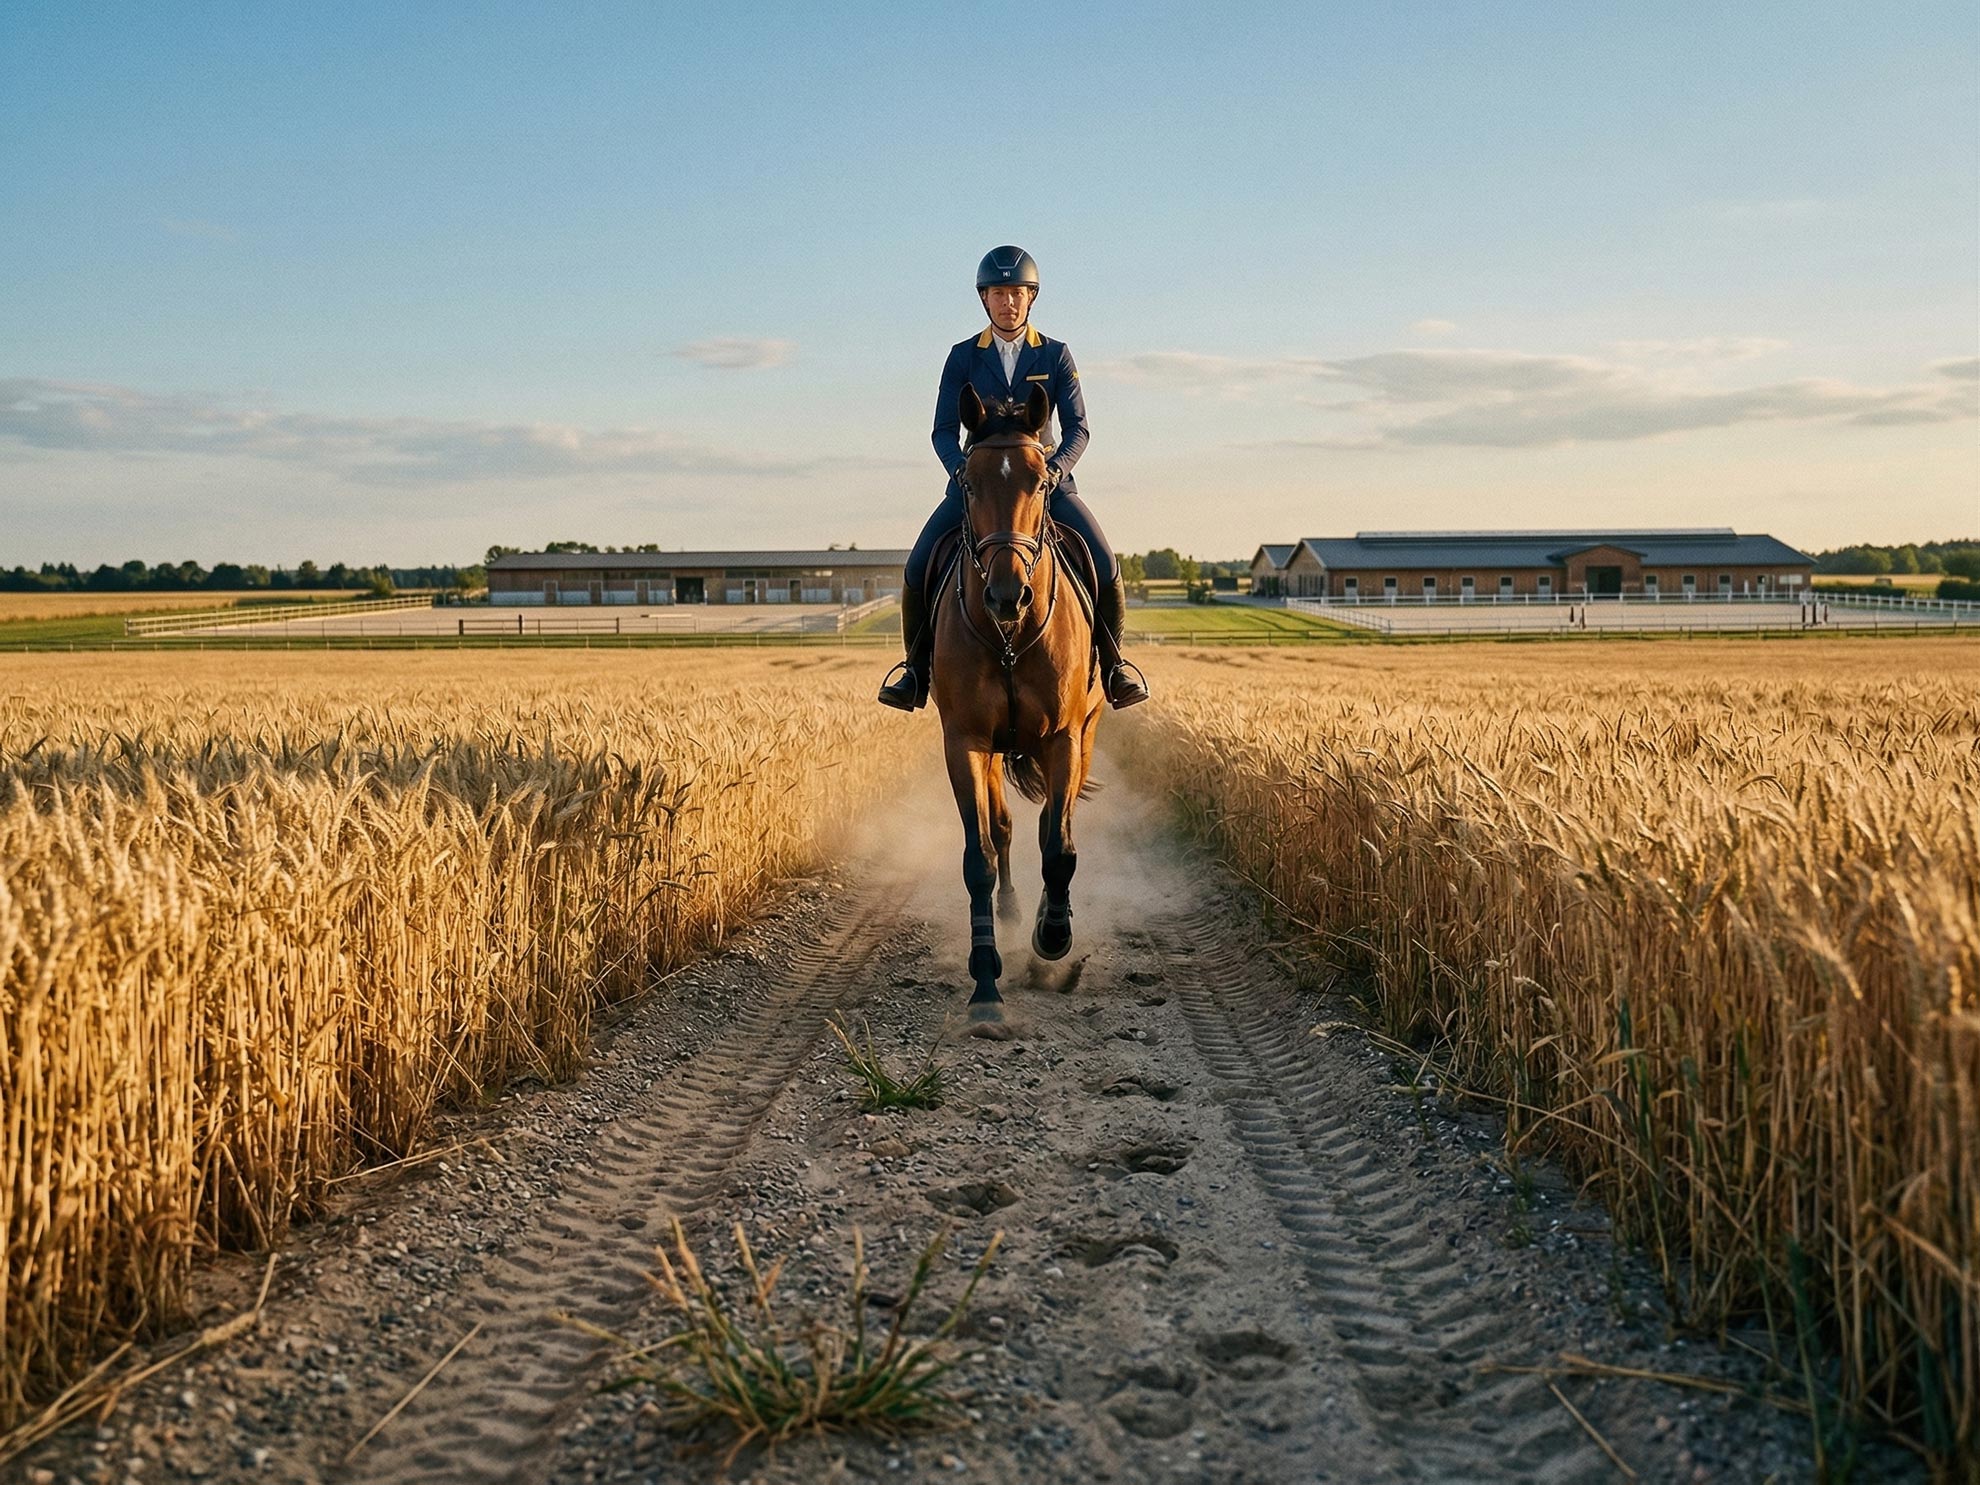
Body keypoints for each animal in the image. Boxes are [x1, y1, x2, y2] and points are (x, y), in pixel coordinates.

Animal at [929, 381, 1103, 1027]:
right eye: (969, 482)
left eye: (1041, 482)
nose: (1008, 594)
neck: (1008, 633)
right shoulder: (966, 742)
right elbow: (978, 855)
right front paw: (985, 982)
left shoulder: (1064, 738)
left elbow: (1058, 845)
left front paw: (1053, 937)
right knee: (1003, 827)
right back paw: (1009, 911)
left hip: (1086, 732)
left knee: (1056, 821)